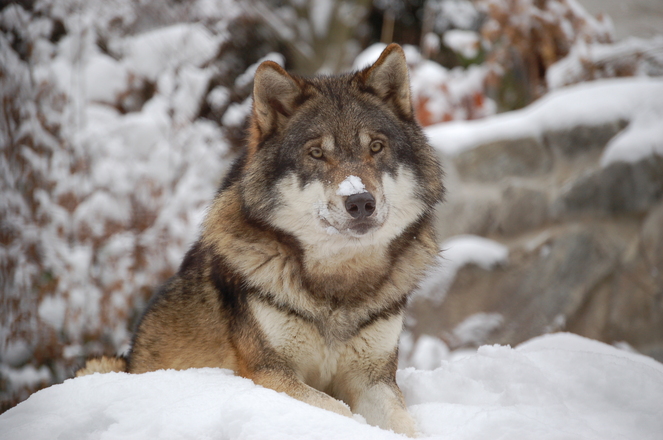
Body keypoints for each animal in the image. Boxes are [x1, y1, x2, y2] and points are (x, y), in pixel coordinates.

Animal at [80, 43, 448, 434]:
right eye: (316, 153)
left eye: (376, 147)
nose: (360, 201)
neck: (338, 286)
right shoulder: (268, 373)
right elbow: (339, 411)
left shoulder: (373, 379)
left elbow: (404, 424)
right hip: (102, 364)